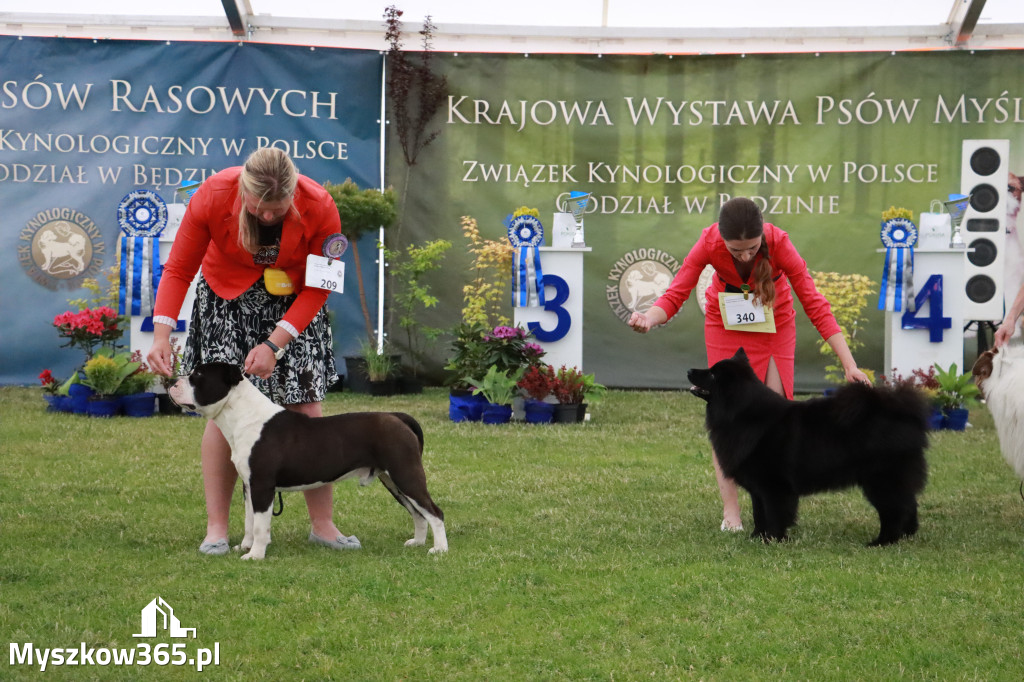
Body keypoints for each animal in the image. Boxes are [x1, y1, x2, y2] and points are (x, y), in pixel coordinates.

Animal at [168, 360, 448, 557]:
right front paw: (245, 547)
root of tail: (397, 417)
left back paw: (439, 549)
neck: (242, 415)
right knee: (417, 512)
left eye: (198, 376)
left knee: (434, 512)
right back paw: (418, 542)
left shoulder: (262, 485)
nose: (172, 381)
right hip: (393, 480)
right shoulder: (249, 485)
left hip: (405, 473)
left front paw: (255, 555)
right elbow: (249, 520)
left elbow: (260, 524)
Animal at [688, 348, 929, 544]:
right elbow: (759, 513)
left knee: (895, 510)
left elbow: (774, 514)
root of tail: (899, 412)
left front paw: (773, 539)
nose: (690, 369)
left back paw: (883, 541)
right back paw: (907, 535)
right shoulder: (758, 488)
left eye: (712, 374)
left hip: (880, 480)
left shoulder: (774, 485)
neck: (743, 414)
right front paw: (757, 537)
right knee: (909, 504)